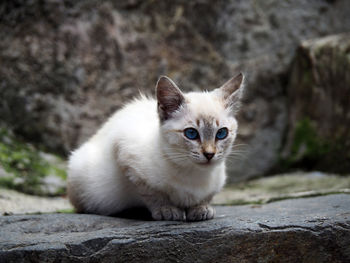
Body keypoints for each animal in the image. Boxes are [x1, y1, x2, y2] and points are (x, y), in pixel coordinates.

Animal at [67, 73, 245, 222]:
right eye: (191, 133)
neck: (193, 174)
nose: (209, 154)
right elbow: (153, 194)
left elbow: (206, 197)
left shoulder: (217, 182)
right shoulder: (126, 156)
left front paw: (201, 208)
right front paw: (167, 210)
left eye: (221, 133)